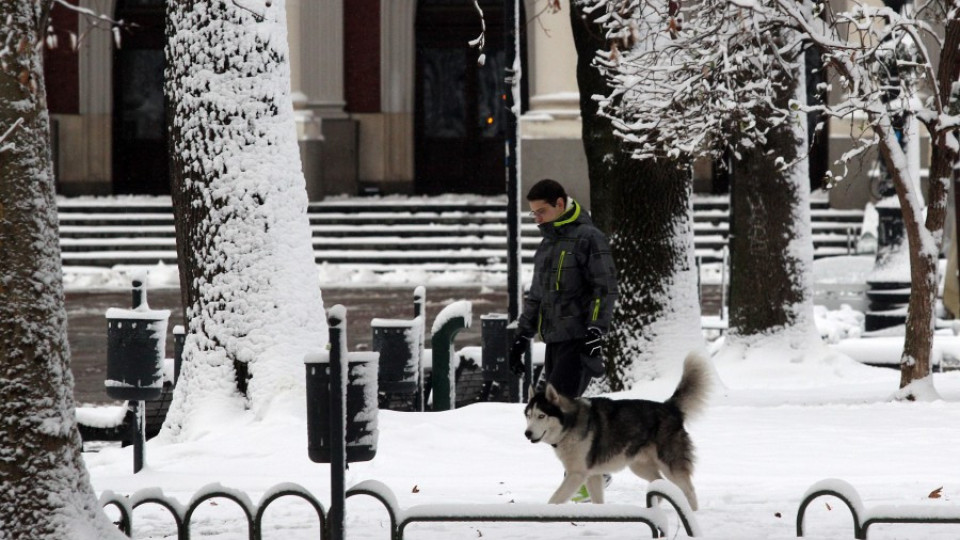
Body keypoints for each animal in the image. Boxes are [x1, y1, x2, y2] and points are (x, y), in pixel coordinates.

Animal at [524, 352, 704, 508]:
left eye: (541, 416)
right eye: (528, 415)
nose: (527, 433)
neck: (570, 425)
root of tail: (669, 407)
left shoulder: (577, 474)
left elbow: (554, 498)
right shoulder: (593, 474)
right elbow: (597, 501)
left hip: (670, 464)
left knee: (689, 490)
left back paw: (692, 512)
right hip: (639, 465)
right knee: (659, 483)